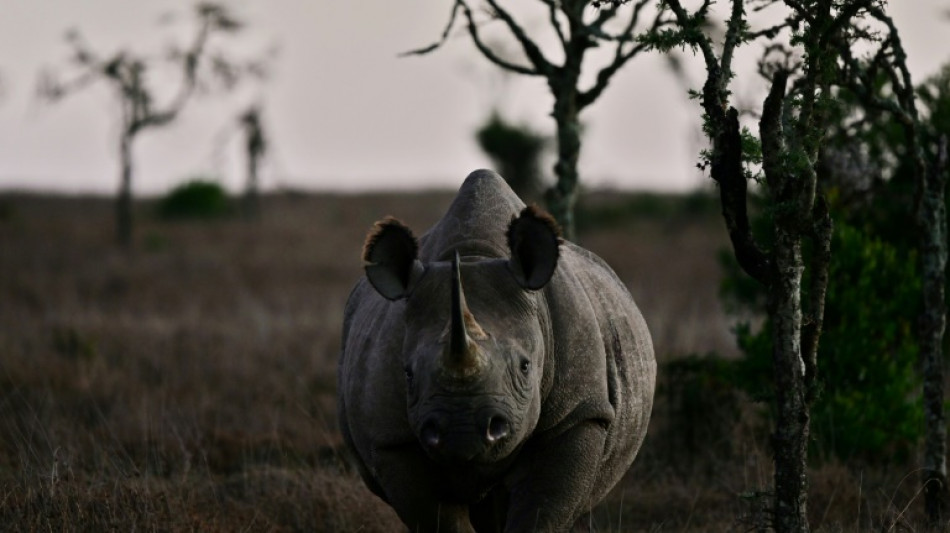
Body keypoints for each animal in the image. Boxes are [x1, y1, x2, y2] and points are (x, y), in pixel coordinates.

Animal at [337, 170, 655, 532]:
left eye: (525, 367)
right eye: (408, 373)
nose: (461, 431)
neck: (473, 255)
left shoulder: (577, 415)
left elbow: (542, 512)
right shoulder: (392, 439)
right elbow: (439, 520)